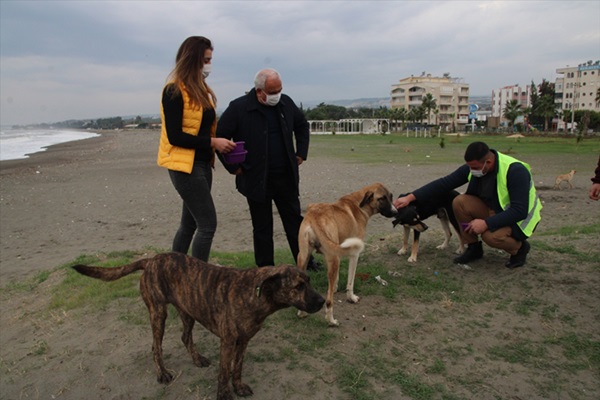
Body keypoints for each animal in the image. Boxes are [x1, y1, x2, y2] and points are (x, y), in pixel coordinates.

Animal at [73, 253, 326, 400]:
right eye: (299, 286)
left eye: (309, 281)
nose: (323, 301)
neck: (254, 294)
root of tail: (151, 260)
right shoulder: (228, 342)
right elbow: (224, 372)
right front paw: (224, 395)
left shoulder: (243, 341)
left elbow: (237, 368)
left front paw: (239, 387)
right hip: (158, 313)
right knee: (156, 347)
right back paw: (162, 373)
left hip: (187, 311)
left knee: (185, 337)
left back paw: (197, 359)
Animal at [296, 183, 398, 326]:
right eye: (382, 198)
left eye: (390, 196)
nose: (396, 212)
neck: (359, 204)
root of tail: (315, 215)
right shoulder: (353, 254)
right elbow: (350, 282)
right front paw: (351, 297)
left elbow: (335, 280)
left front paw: (335, 287)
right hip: (333, 258)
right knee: (329, 301)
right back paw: (331, 320)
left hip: (304, 257)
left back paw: (301, 312)